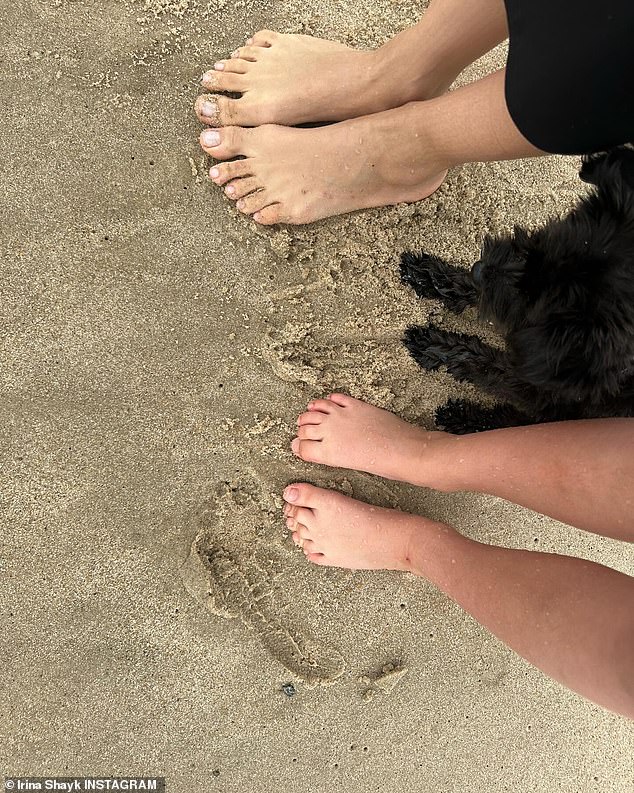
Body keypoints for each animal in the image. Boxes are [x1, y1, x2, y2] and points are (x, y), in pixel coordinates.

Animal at [400, 147, 632, 434]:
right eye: (542, 239)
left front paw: (433, 343)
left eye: (534, 301)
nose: (478, 269)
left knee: (512, 420)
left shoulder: (543, 388)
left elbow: (486, 364)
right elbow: (489, 297)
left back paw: (463, 417)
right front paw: (428, 275)